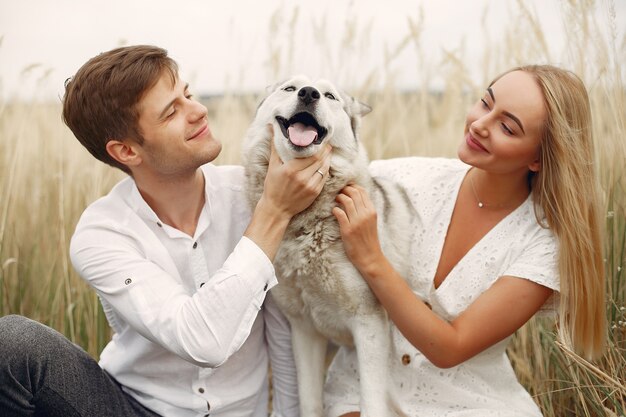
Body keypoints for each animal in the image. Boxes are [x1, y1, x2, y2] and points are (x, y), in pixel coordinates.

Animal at [243, 76, 414, 414]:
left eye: (330, 96)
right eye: (289, 88)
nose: (308, 93)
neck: (306, 225)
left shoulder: (369, 324)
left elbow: (371, 405)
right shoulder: (304, 331)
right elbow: (310, 403)